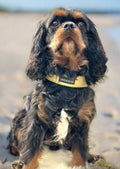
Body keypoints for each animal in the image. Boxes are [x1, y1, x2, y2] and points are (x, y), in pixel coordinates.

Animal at [7, 7, 107, 169]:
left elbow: (80, 151)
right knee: (16, 145)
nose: (69, 25)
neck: (66, 77)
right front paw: (26, 163)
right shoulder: (36, 121)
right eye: (54, 23)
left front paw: (81, 162)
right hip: (19, 116)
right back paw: (18, 161)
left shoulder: (82, 123)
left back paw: (92, 156)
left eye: (81, 23)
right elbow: (31, 151)